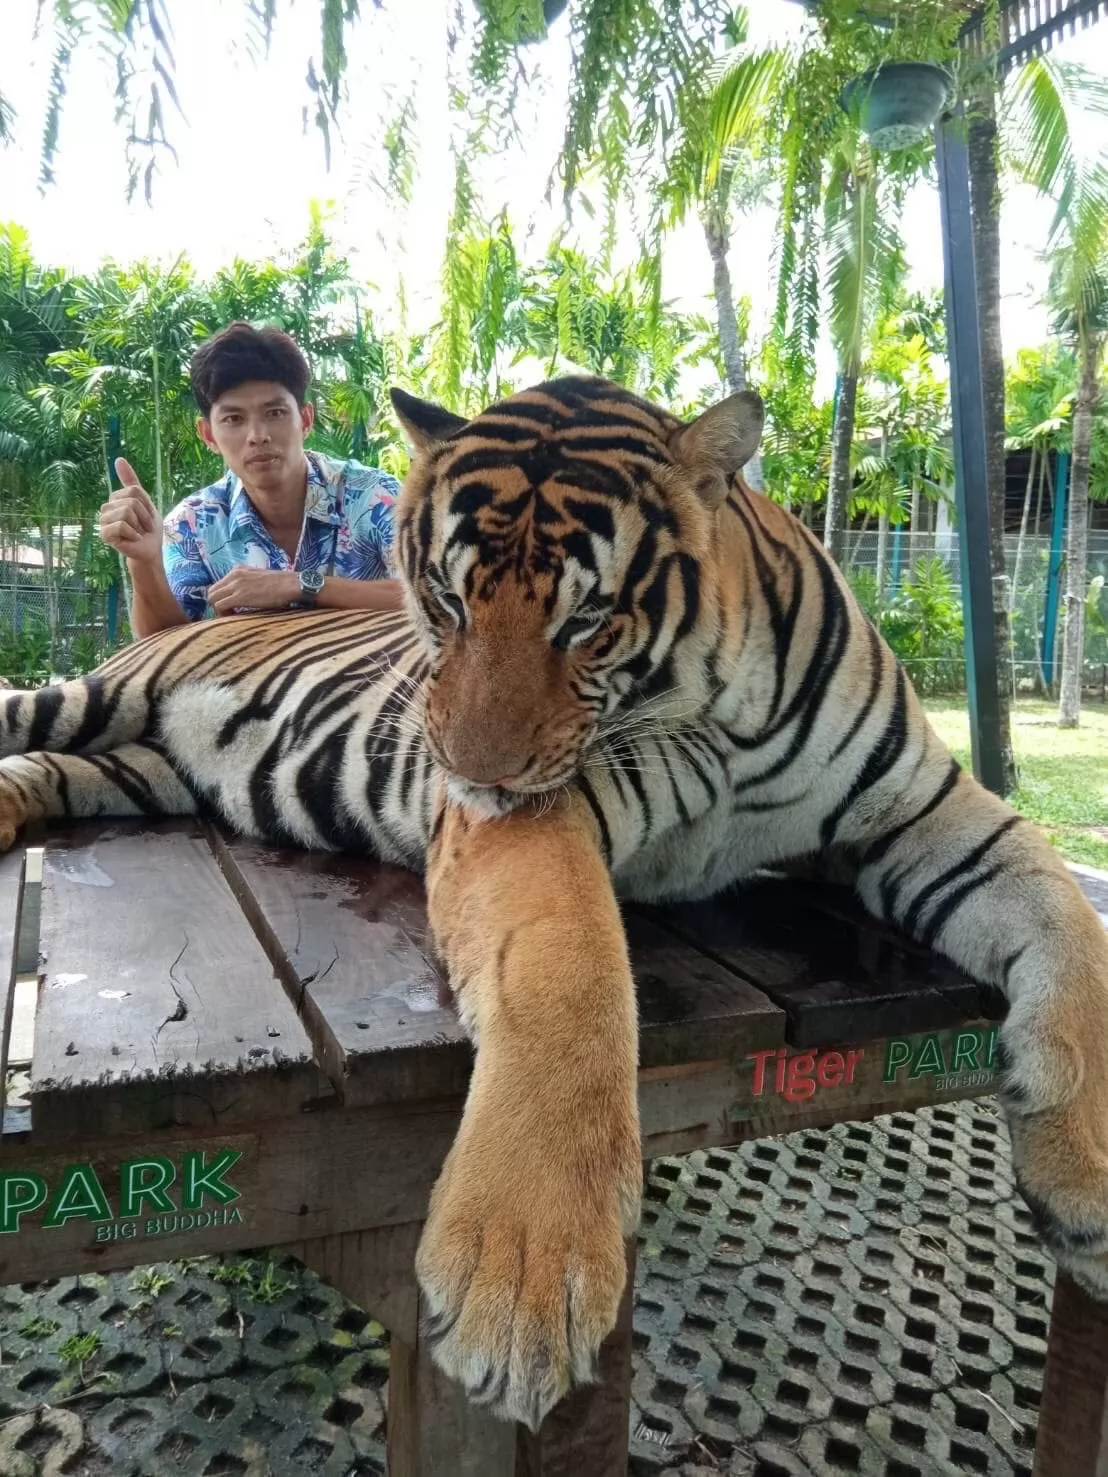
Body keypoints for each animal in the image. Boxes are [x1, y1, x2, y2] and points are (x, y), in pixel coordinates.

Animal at [1, 374, 1107, 1431]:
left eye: (587, 619)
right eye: (443, 599)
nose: (463, 769)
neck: (730, 717)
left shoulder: (927, 810)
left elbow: (1070, 922)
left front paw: (1088, 1182)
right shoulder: (531, 823)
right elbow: (567, 968)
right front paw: (524, 1281)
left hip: (139, 773)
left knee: (47, 772)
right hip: (83, 701)